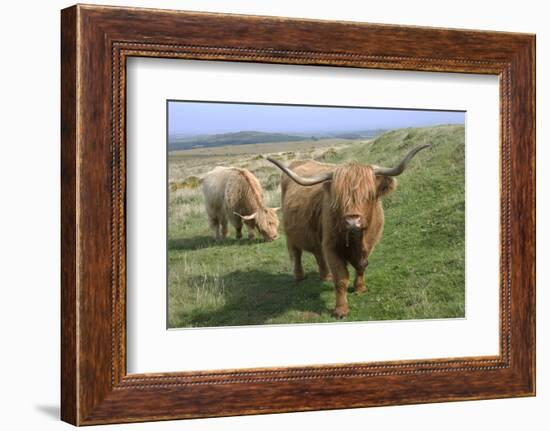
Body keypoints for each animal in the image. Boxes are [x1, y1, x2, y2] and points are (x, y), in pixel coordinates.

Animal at [270, 147, 434, 318]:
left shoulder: (370, 243)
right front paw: (341, 310)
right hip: (290, 233)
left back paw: (326, 276)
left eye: (369, 194)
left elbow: (362, 265)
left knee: (318, 253)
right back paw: (299, 276)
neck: (357, 239)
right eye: (339, 197)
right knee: (296, 253)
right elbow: (341, 278)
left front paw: (360, 288)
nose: (352, 222)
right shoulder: (331, 246)